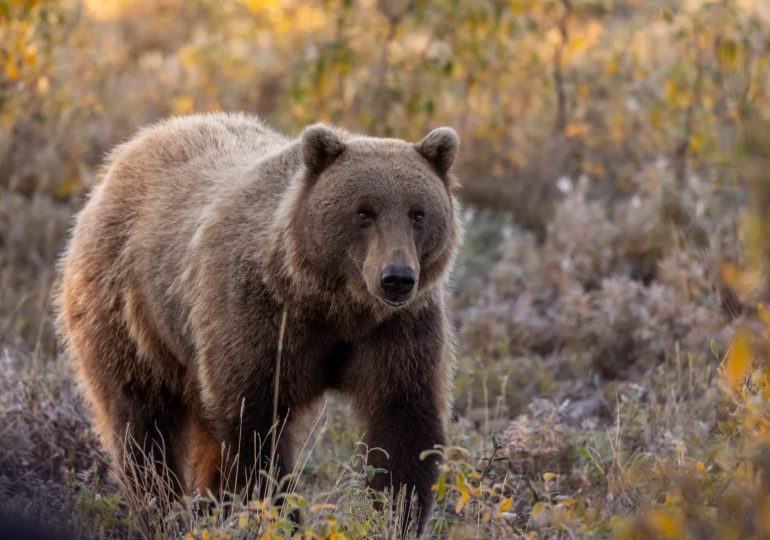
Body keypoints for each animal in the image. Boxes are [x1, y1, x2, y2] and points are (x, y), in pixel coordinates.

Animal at [55, 113, 461, 535]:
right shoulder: (258, 319)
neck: (333, 303)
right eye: (364, 211)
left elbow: (403, 422)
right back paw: (165, 513)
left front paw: (393, 516)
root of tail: (125, 154)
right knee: (142, 426)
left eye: (418, 213)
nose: (396, 277)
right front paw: (281, 520)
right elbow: (255, 431)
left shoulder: (396, 331)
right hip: (128, 315)